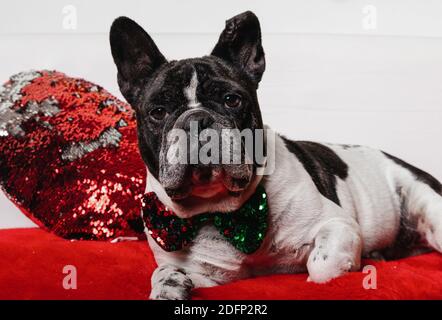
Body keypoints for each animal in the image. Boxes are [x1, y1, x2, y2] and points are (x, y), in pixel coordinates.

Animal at [109, 10, 442, 300]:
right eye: (158, 111)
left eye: (232, 100)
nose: (197, 119)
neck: (222, 212)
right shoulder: (204, 275)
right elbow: (164, 272)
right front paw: (168, 285)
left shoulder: (337, 225)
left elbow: (321, 266)